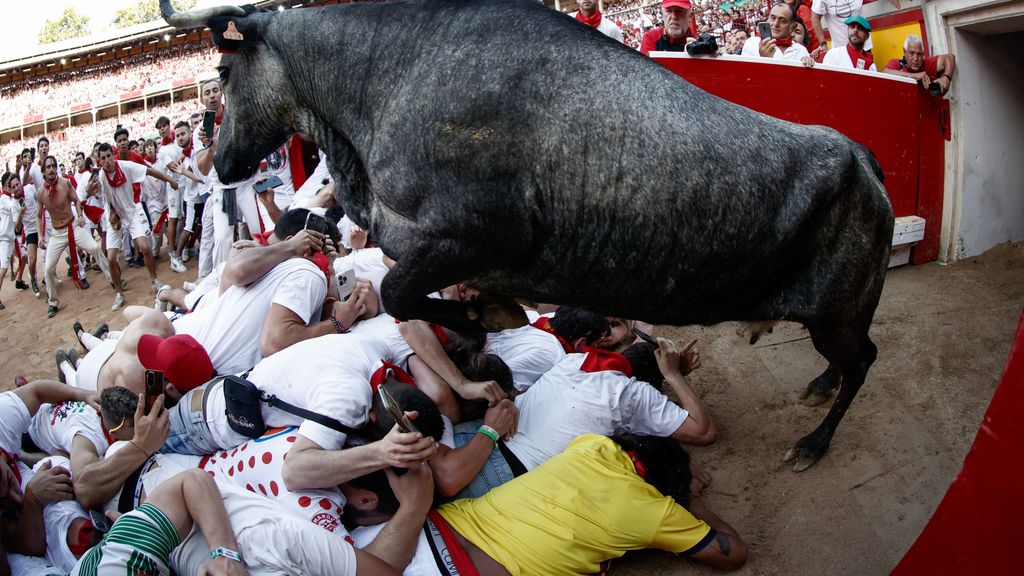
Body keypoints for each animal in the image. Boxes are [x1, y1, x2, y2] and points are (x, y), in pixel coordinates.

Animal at [159, 0, 897, 471]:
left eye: (222, 72)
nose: (223, 163)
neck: (386, 78)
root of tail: (863, 157)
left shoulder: (469, 239)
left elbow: (398, 295)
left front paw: (483, 318)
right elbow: (411, 298)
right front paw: (486, 315)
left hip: (839, 310)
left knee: (865, 360)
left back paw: (813, 442)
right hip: (830, 314)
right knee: (851, 358)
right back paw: (819, 384)